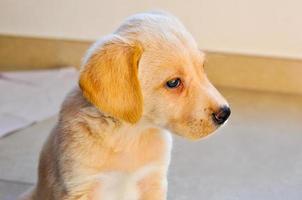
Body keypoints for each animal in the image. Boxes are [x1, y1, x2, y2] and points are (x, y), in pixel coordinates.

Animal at [22, 11, 230, 200]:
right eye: (173, 83)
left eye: (202, 68)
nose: (225, 113)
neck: (129, 135)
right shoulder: (80, 185)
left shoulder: (152, 180)